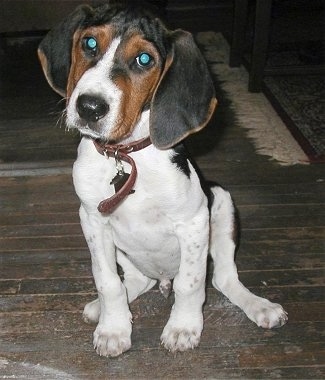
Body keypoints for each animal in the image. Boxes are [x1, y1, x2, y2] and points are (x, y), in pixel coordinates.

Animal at [38, 0, 286, 356]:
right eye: (89, 43)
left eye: (144, 59)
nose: (89, 107)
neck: (128, 155)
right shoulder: (92, 220)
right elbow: (107, 282)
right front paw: (113, 328)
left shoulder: (194, 222)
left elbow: (190, 283)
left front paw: (182, 327)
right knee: (137, 280)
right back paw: (103, 308)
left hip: (222, 203)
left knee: (222, 278)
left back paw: (260, 306)